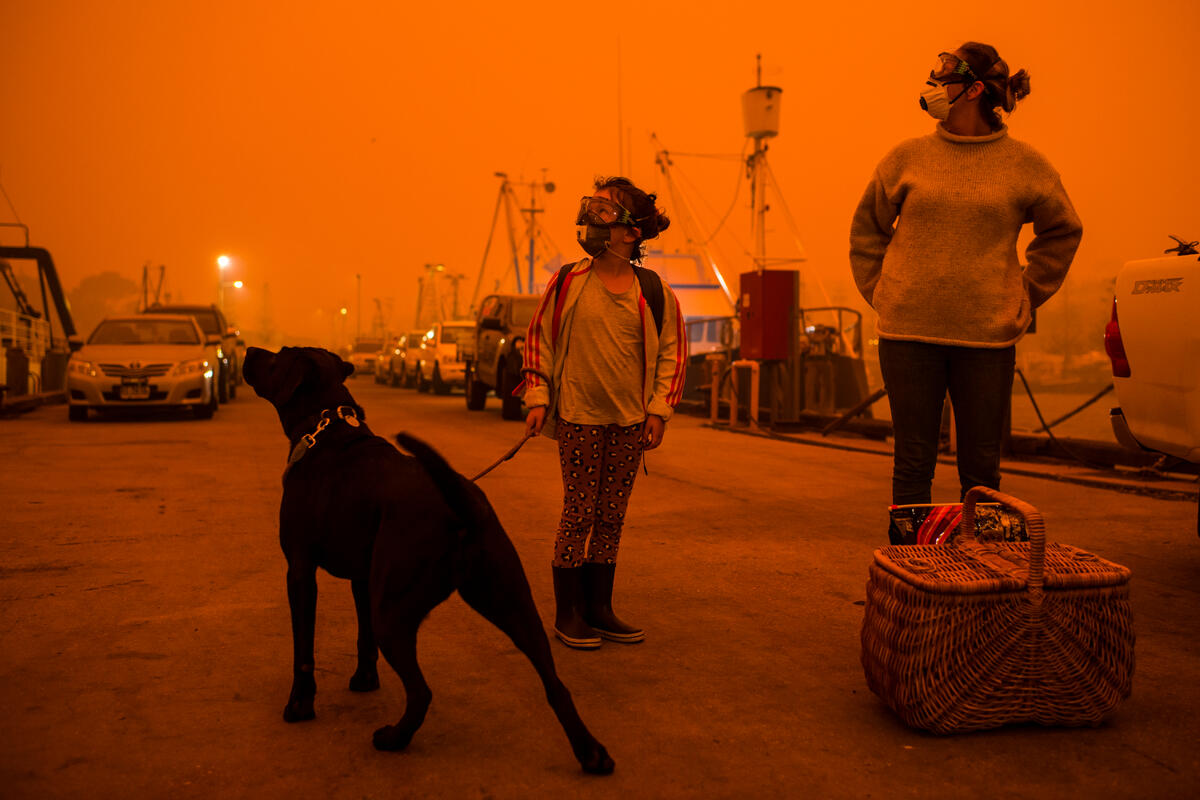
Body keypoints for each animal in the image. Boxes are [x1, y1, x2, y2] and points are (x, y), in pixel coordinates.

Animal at [246, 347, 619, 772]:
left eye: (279, 356)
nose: (248, 350)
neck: (326, 429)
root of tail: (459, 506)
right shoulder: (363, 579)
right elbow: (362, 637)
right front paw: (364, 680)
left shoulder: (300, 571)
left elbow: (304, 650)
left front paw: (299, 705)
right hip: (513, 605)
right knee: (556, 685)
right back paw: (591, 753)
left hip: (392, 613)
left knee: (421, 692)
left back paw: (394, 738)